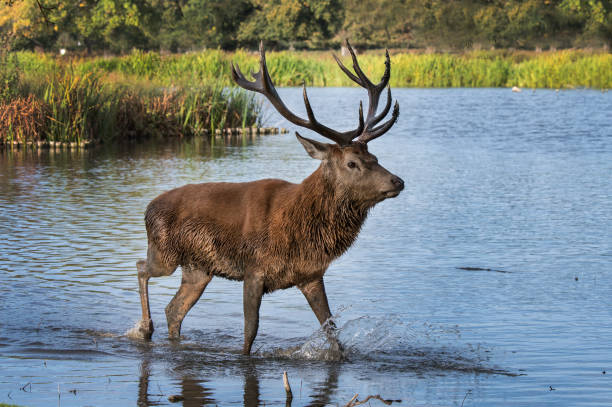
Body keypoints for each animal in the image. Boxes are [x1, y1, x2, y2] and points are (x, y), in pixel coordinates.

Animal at [133, 39, 402, 356]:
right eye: (352, 163)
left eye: (375, 157)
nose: (398, 181)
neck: (300, 232)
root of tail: (148, 208)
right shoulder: (253, 271)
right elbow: (250, 333)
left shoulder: (311, 275)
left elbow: (332, 331)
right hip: (164, 253)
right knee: (141, 268)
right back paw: (144, 328)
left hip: (198, 269)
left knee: (174, 310)